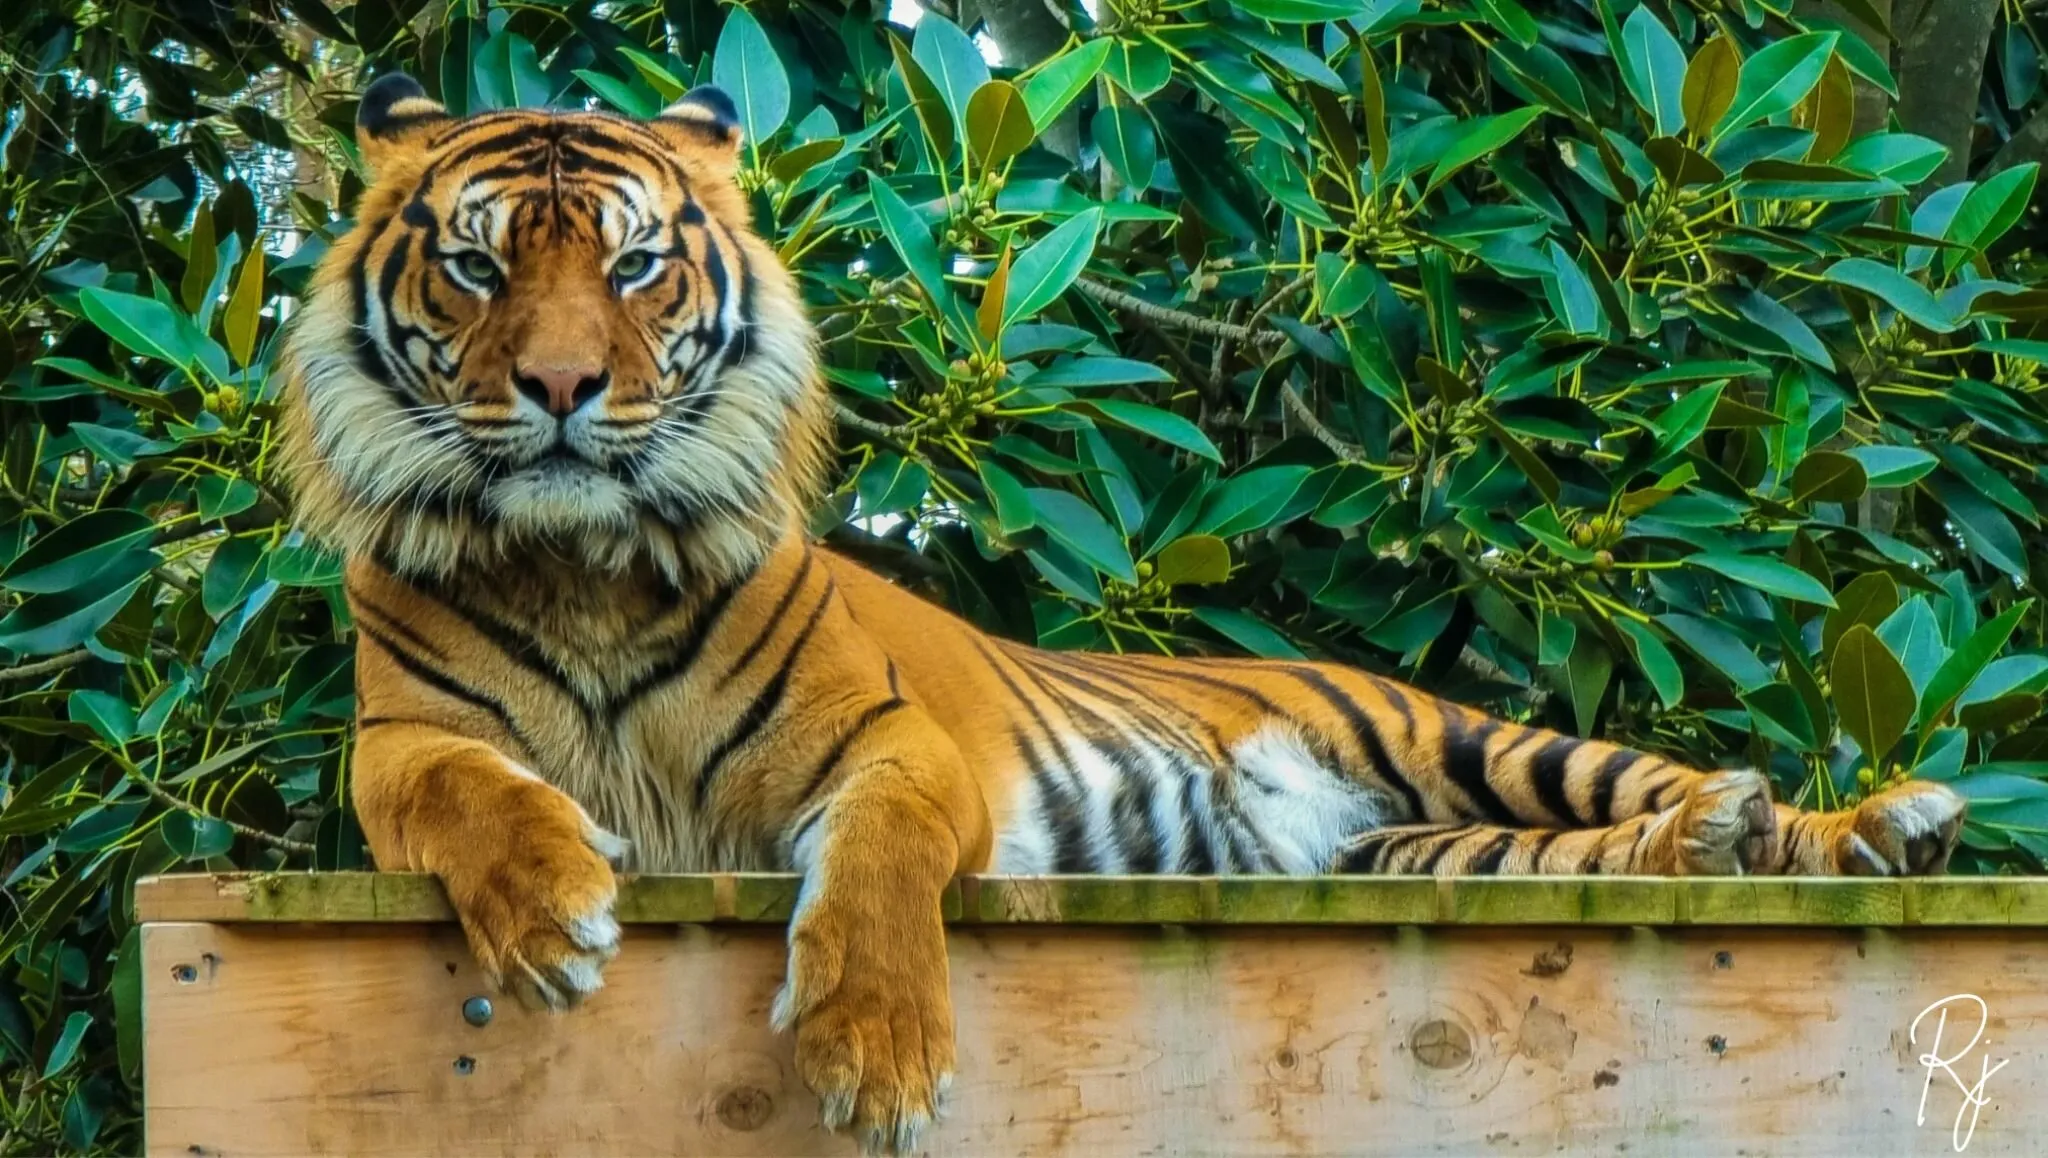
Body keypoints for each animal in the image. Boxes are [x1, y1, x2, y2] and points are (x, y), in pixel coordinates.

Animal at [279, 72, 1969, 1155]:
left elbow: (879, 870)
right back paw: (1714, 842)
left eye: (634, 266)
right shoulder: (397, 745)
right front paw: (547, 913)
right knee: (1591, 850)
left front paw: (878, 1055)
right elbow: (468, 795)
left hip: (1463, 735)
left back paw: (1866, 825)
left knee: (1663, 787)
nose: (562, 386)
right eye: (476, 264)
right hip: (1415, 848)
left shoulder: (890, 742)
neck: (583, 560)